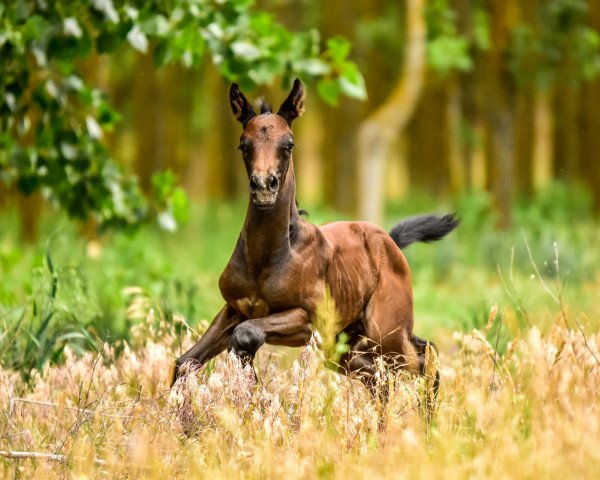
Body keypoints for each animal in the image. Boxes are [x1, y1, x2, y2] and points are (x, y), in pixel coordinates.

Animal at [171, 79, 458, 402]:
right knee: (380, 377)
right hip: (344, 345)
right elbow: (185, 362)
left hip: (385, 331)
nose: (263, 187)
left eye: (289, 144)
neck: (267, 258)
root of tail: (392, 242)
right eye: (243, 145)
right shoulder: (234, 308)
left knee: (424, 356)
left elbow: (246, 334)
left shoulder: (307, 320)